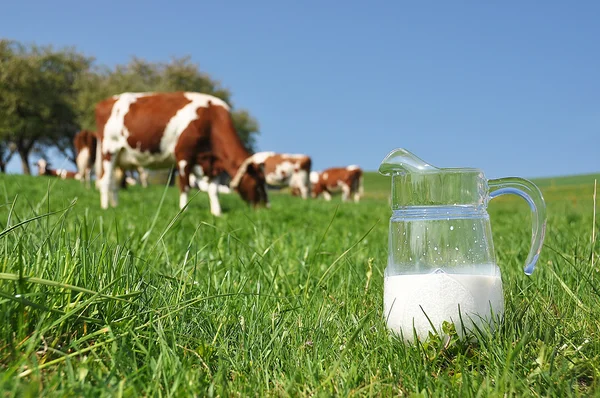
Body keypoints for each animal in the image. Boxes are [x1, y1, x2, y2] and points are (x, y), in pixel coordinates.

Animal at [94, 91, 268, 215]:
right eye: (257, 183)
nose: (265, 207)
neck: (211, 119)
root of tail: (104, 102)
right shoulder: (184, 156)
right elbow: (185, 185)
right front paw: (184, 210)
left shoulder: (209, 162)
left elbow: (214, 190)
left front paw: (217, 213)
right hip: (109, 150)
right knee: (105, 180)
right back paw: (105, 207)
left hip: (121, 157)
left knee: (115, 183)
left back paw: (115, 205)